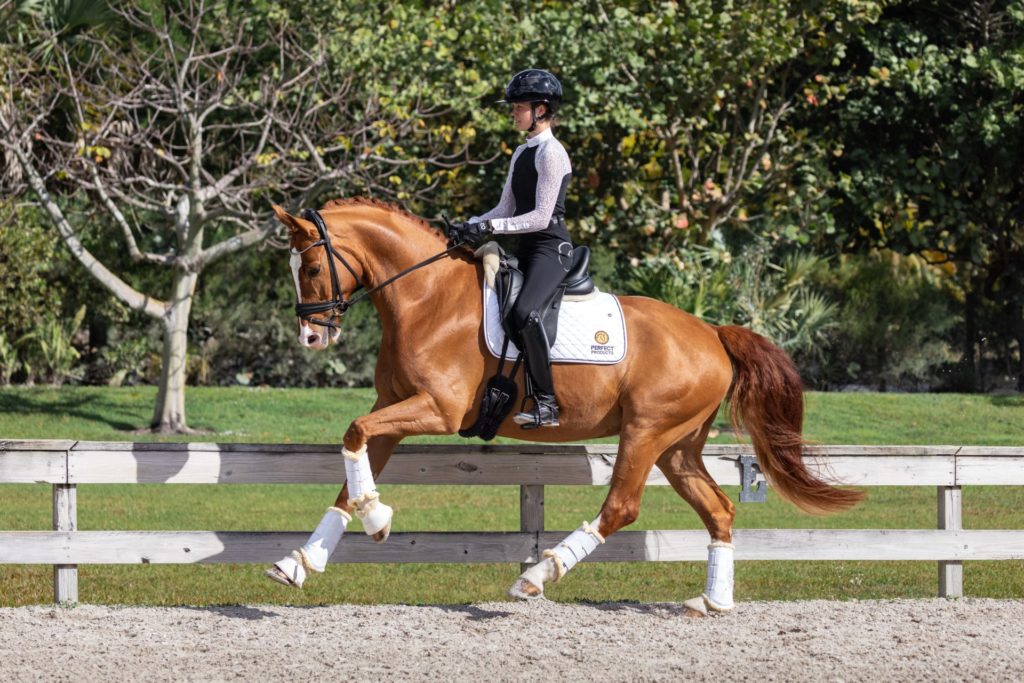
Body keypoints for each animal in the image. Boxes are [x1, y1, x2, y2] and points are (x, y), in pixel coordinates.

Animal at [266, 198, 864, 614]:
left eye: (312, 268)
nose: (311, 337)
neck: (426, 296)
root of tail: (713, 333)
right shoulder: (393, 408)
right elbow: (354, 455)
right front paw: (304, 559)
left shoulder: (437, 409)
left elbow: (353, 432)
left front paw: (377, 519)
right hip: (678, 447)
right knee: (718, 510)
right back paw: (713, 602)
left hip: (645, 432)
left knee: (620, 508)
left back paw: (536, 576)